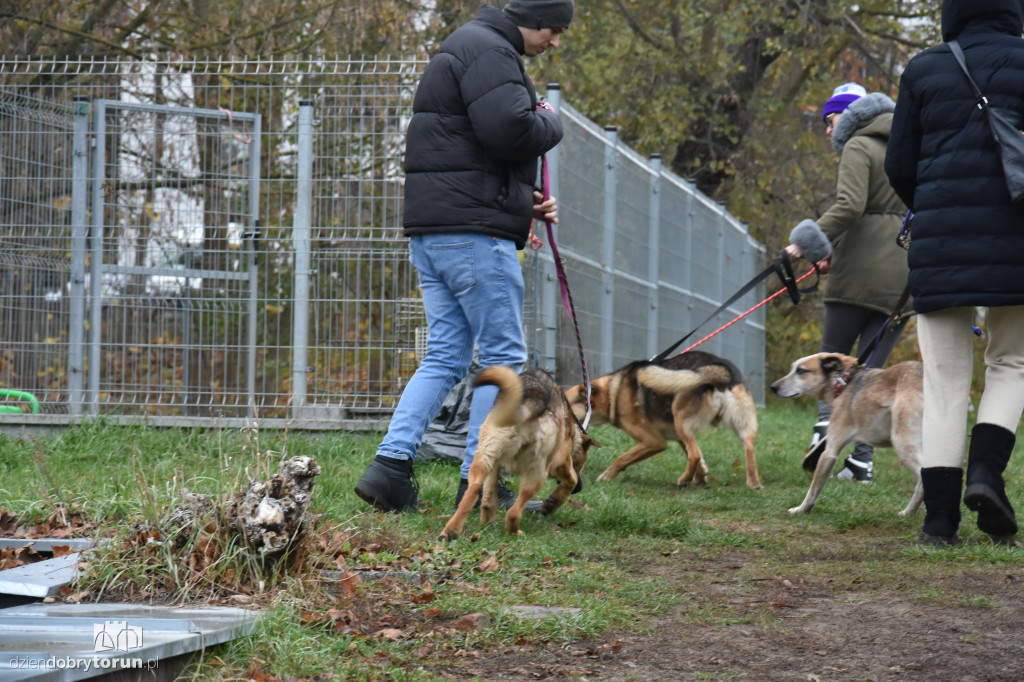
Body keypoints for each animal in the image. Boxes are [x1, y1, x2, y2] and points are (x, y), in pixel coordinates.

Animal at [436, 364, 598, 540]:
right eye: (581, 463)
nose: (580, 489)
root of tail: (532, 399)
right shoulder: (560, 462)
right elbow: (572, 480)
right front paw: (552, 502)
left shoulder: (495, 465)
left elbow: (488, 499)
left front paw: (487, 521)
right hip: (538, 472)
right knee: (514, 512)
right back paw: (515, 532)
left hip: (483, 458)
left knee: (473, 494)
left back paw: (452, 531)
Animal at [561, 350, 761, 489]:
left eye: (567, 405)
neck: (614, 393)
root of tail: (721, 370)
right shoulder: (677, 437)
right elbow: (697, 461)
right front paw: (700, 478)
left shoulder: (653, 442)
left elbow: (622, 458)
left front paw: (607, 477)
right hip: (741, 426)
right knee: (748, 450)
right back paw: (754, 484)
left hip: (681, 420)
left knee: (695, 454)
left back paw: (682, 480)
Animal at [770, 350, 925, 516]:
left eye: (801, 371)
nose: (773, 387)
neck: (843, 382)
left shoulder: (829, 453)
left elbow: (813, 490)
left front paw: (802, 509)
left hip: (902, 443)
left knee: (921, 483)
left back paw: (909, 512)